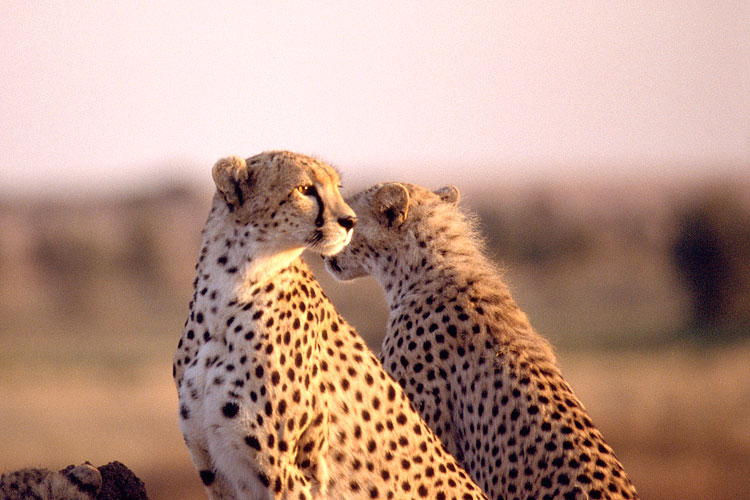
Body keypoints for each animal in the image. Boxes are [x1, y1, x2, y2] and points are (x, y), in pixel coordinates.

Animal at [172, 153, 488, 500]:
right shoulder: (216, 472)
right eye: (304, 188)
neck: (226, 293)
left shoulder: (287, 474)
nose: (350, 221)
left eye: (338, 188)